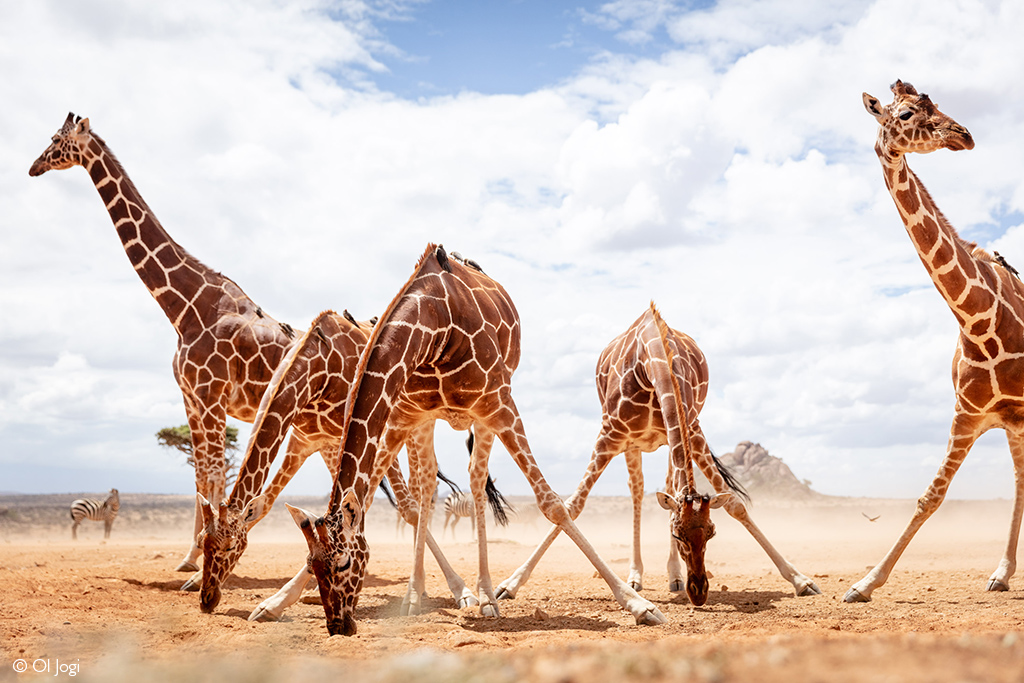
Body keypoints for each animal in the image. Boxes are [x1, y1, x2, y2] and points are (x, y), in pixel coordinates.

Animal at [28, 113, 336, 573]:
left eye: (55, 141)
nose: (33, 167)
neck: (186, 306)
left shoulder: (210, 396)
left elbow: (213, 473)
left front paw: (197, 556)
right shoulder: (190, 398)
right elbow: (200, 475)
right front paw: (190, 556)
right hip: (317, 430)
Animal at [193, 309, 478, 612]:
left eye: (230, 546)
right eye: (201, 542)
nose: (207, 600)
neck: (319, 368)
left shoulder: (363, 432)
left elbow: (399, 507)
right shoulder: (305, 442)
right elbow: (269, 504)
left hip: (414, 423)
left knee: (422, 489)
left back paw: (448, 589)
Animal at [255, 244, 667, 634]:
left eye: (344, 562)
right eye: (312, 563)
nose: (339, 625)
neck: (434, 326)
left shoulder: (499, 404)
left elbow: (552, 505)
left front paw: (639, 604)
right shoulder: (404, 414)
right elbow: (377, 497)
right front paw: (274, 602)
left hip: (485, 413)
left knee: (475, 476)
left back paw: (484, 594)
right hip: (428, 420)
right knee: (427, 484)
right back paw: (418, 594)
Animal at [495, 304, 821, 605]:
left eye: (712, 532)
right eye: (678, 534)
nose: (698, 591)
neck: (653, 362)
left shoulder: (692, 429)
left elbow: (735, 505)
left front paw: (800, 579)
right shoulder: (611, 435)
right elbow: (573, 505)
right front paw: (510, 584)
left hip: (666, 439)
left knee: (668, 485)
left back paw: (673, 575)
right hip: (633, 444)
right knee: (637, 491)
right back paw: (636, 576)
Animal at [845, 80, 1024, 602]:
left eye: (938, 103)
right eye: (906, 112)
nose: (964, 134)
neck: (978, 321)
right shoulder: (967, 415)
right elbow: (930, 496)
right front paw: (864, 583)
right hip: (1012, 424)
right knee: (1020, 478)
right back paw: (1001, 572)